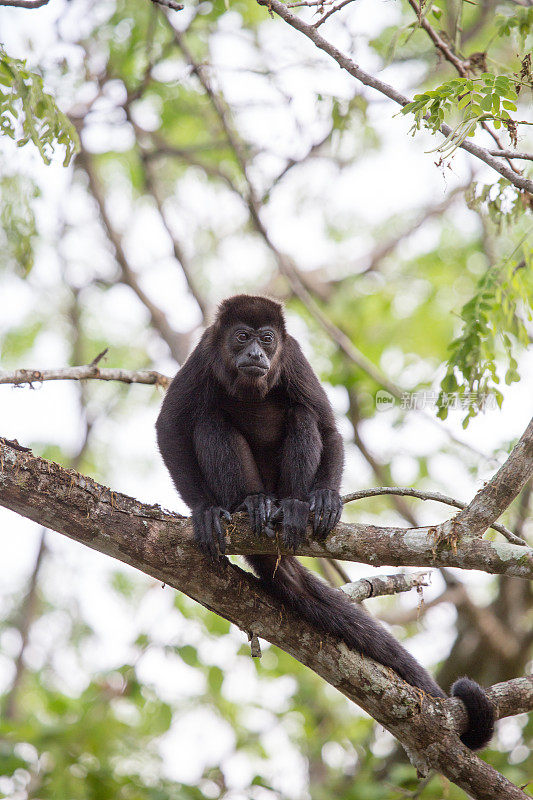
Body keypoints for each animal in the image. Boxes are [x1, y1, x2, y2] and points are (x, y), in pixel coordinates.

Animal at [157, 294, 494, 752]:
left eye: (268, 338)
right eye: (241, 336)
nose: (256, 354)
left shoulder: (294, 357)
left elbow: (328, 427)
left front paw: (326, 499)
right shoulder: (203, 355)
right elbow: (170, 426)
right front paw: (204, 511)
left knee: (303, 416)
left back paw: (295, 508)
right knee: (209, 420)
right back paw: (251, 504)